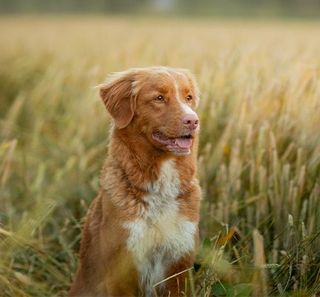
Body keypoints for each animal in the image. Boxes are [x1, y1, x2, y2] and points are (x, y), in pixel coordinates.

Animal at [69, 67, 201, 296]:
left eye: (189, 97)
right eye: (159, 98)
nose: (193, 121)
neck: (159, 188)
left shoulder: (178, 265)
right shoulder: (122, 269)